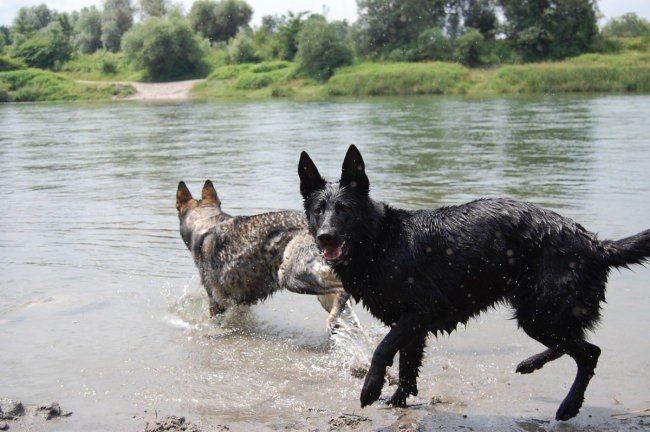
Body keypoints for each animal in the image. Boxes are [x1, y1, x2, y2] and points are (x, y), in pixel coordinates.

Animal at [298, 144, 648, 418]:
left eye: (344, 209)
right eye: (318, 210)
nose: (325, 236)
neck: (380, 241)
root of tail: (594, 244)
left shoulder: (424, 309)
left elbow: (384, 348)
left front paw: (371, 388)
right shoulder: (413, 324)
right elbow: (407, 367)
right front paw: (397, 402)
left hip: (539, 314)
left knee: (589, 352)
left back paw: (568, 406)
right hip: (541, 315)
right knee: (573, 346)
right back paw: (531, 365)